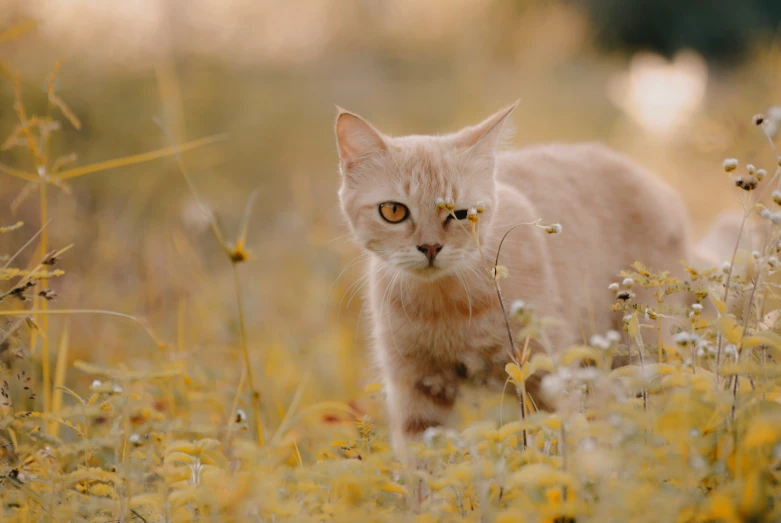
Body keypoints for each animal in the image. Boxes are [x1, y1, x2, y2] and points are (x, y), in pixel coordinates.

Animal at [336, 103, 724, 454]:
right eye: (393, 211)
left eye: (462, 214)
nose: (430, 247)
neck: (444, 305)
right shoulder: (416, 389)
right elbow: (424, 470)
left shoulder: (548, 372)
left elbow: (565, 442)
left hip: (639, 353)